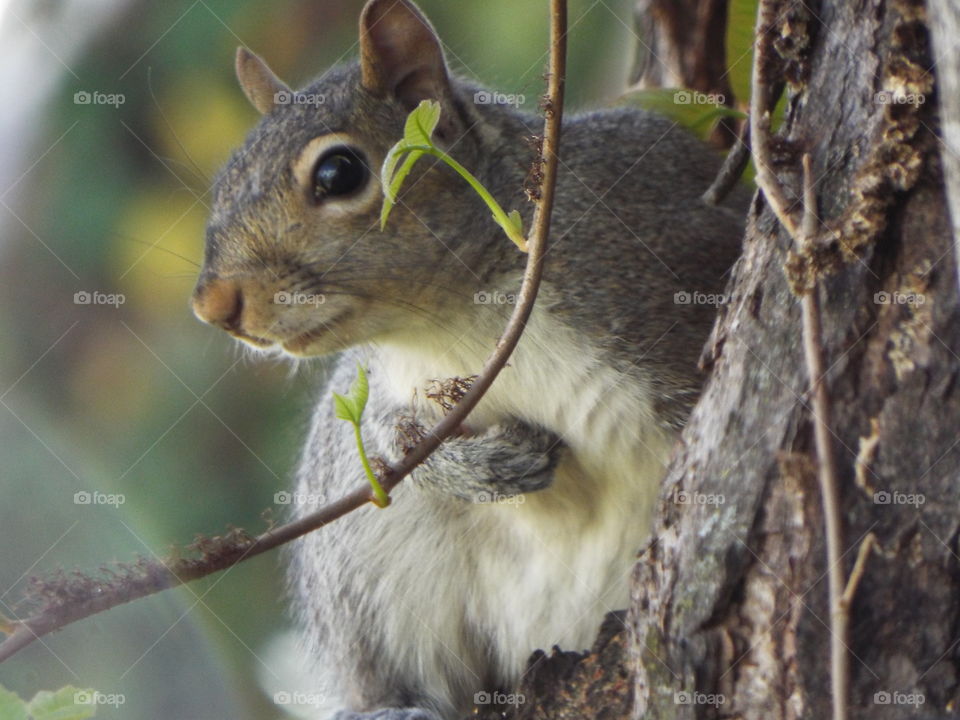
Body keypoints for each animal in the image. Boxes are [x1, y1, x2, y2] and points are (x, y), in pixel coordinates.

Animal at [191, 1, 752, 720]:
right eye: (224, 181)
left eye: (339, 173)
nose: (214, 304)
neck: (454, 324)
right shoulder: (392, 382)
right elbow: (388, 435)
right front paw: (475, 467)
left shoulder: (657, 278)